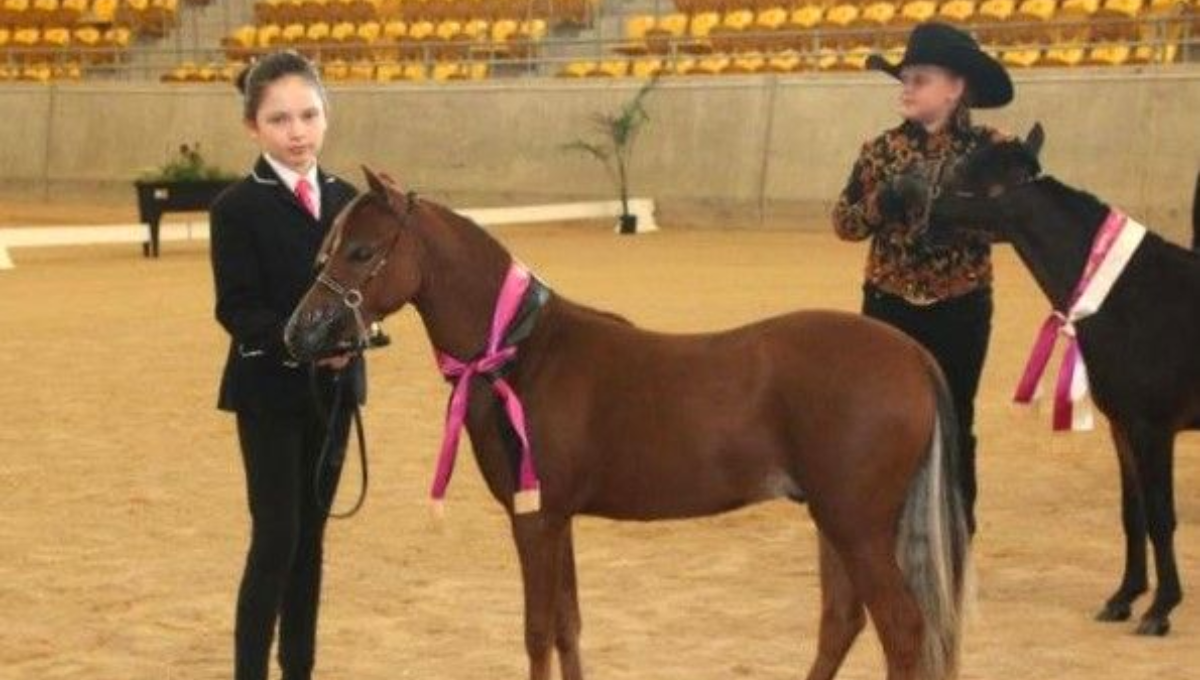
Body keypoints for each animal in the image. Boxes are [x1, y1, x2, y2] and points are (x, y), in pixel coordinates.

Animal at [285, 169, 969, 680]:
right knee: (842, 622)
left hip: (856, 525)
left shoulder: (535, 518)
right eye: (327, 248)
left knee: (901, 630)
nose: (301, 333)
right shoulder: (557, 518)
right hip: (835, 520)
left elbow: (537, 631)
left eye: (362, 251)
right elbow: (567, 627)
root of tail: (911, 354)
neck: (523, 351)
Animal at [926, 126, 1200, 638]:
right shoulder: (1123, 427)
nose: (916, 210)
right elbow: (1132, 514)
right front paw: (1123, 597)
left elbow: (1160, 516)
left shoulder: (1153, 429)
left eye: (964, 168)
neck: (1126, 296)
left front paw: (1160, 609)